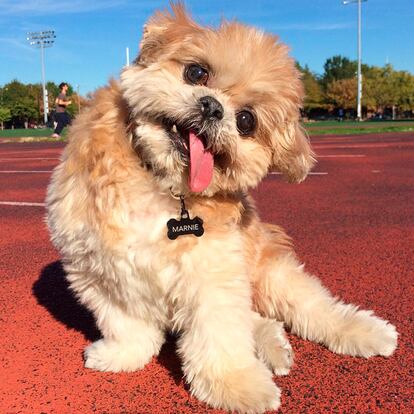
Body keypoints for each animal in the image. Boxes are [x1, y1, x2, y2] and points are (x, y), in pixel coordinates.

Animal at [47, 4, 400, 414]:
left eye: (246, 120)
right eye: (196, 72)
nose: (212, 106)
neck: (163, 183)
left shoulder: (214, 273)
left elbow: (220, 336)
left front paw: (237, 385)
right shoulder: (100, 271)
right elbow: (126, 325)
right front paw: (122, 355)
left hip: (271, 275)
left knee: (313, 307)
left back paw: (364, 332)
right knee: (259, 319)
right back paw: (274, 346)